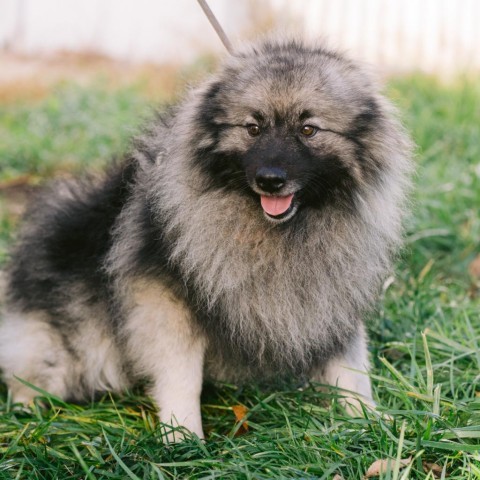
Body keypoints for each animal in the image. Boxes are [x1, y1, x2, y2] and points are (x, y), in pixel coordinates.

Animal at [0, 39, 412, 440]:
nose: (270, 179)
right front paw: (183, 435)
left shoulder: (334, 296)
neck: (278, 232)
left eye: (308, 129)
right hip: (76, 345)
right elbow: (182, 375)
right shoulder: (164, 300)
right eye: (253, 128)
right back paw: (26, 411)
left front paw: (367, 419)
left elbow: (352, 367)